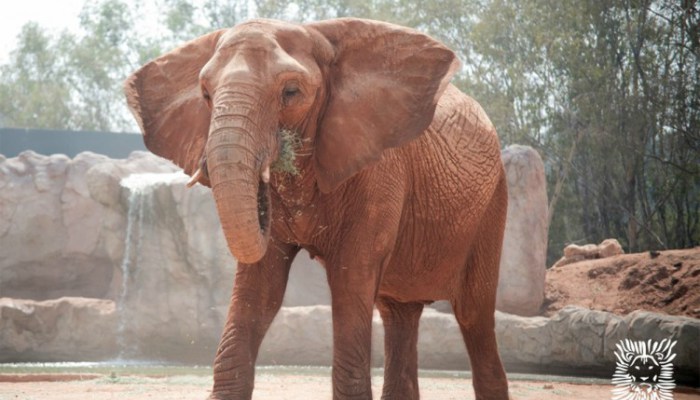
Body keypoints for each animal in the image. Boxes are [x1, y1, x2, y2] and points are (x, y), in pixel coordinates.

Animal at [125, 18, 510, 400]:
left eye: (291, 92)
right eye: (205, 94)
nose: (263, 193)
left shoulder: (379, 170)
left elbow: (350, 280)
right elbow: (259, 291)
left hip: (494, 205)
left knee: (474, 314)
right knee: (399, 313)